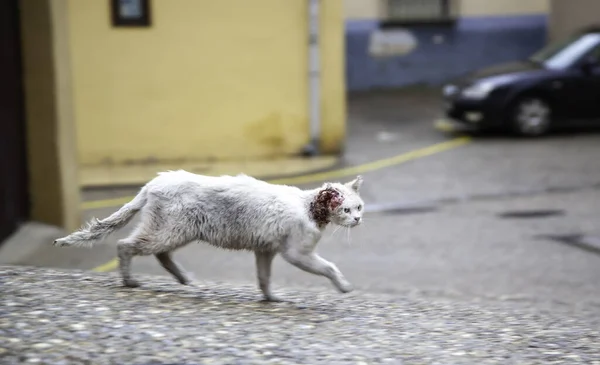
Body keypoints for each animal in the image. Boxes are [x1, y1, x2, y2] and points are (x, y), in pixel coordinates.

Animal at [55, 169, 366, 300]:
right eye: (347, 209)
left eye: (359, 207)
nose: (359, 219)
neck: (308, 207)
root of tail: (153, 183)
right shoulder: (297, 253)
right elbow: (330, 267)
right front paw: (344, 287)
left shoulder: (264, 250)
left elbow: (263, 278)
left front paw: (270, 299)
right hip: (169, 230)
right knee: (125, 245)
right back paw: (130, 281)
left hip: (174, 232)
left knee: (160, 254)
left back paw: (184, 279)